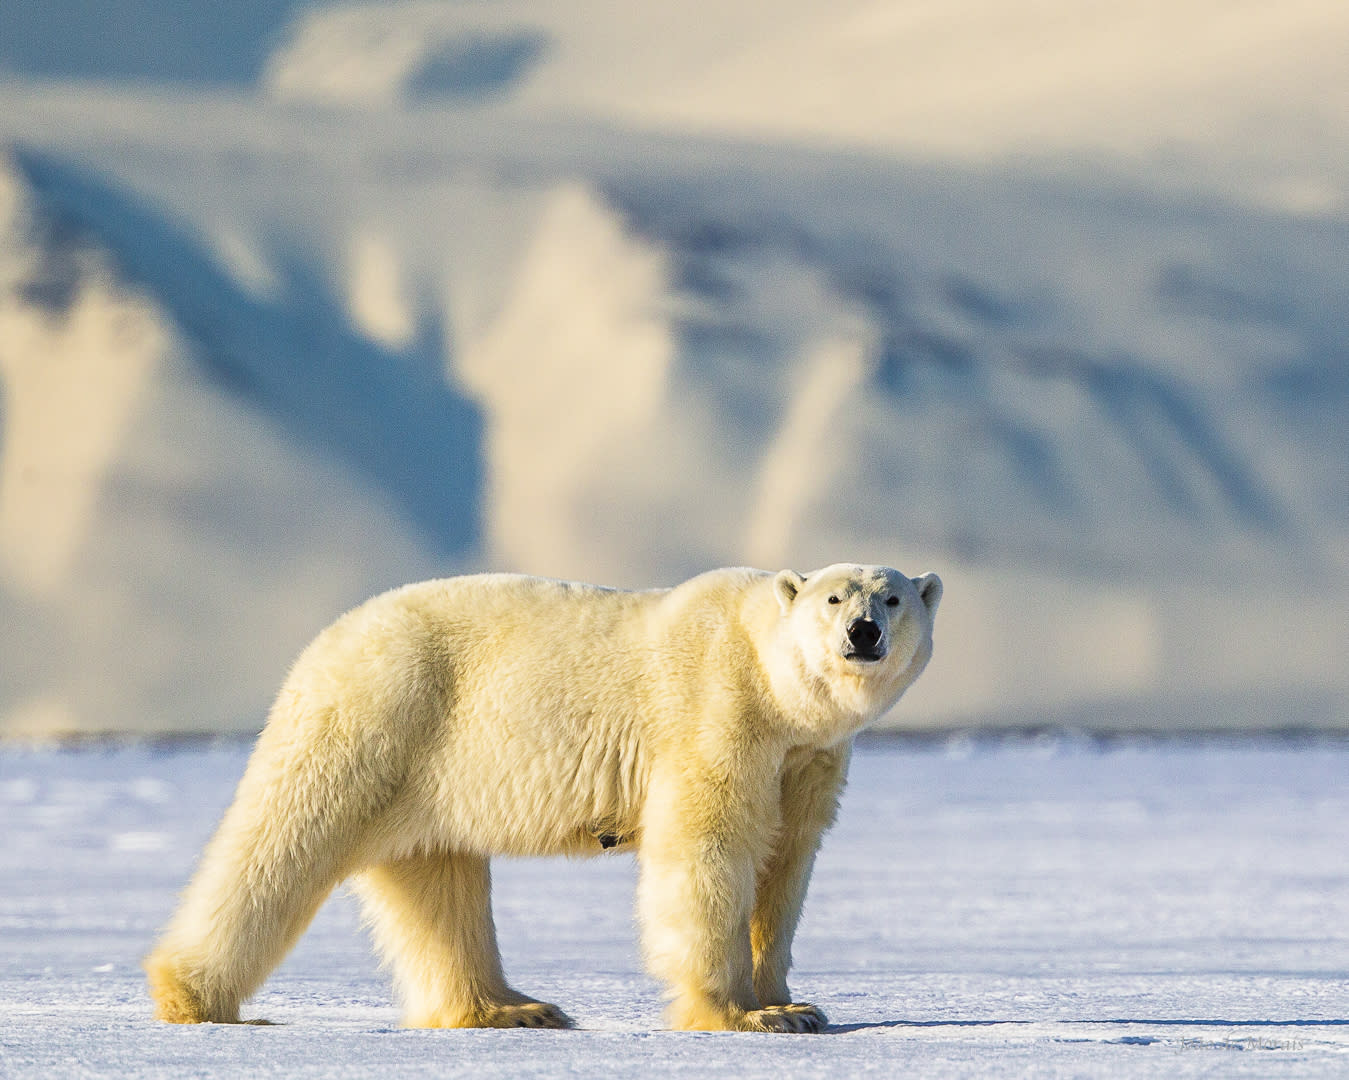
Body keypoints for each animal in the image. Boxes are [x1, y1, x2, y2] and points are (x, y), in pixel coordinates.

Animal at [145, 563, 938, 1030]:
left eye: (893, 597)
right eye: (834, 596)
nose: (863, 631)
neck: (765, 676)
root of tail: (325, 640)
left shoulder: (805, 759)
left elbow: (784, 864)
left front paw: (793, 1003)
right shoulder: (716, 715)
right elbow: (707, 854)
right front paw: (742, 1014)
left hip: (429, 771)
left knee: (439, 885)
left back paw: (512, 1007)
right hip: (380, 717)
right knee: (282, 842)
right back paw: (194, 997)